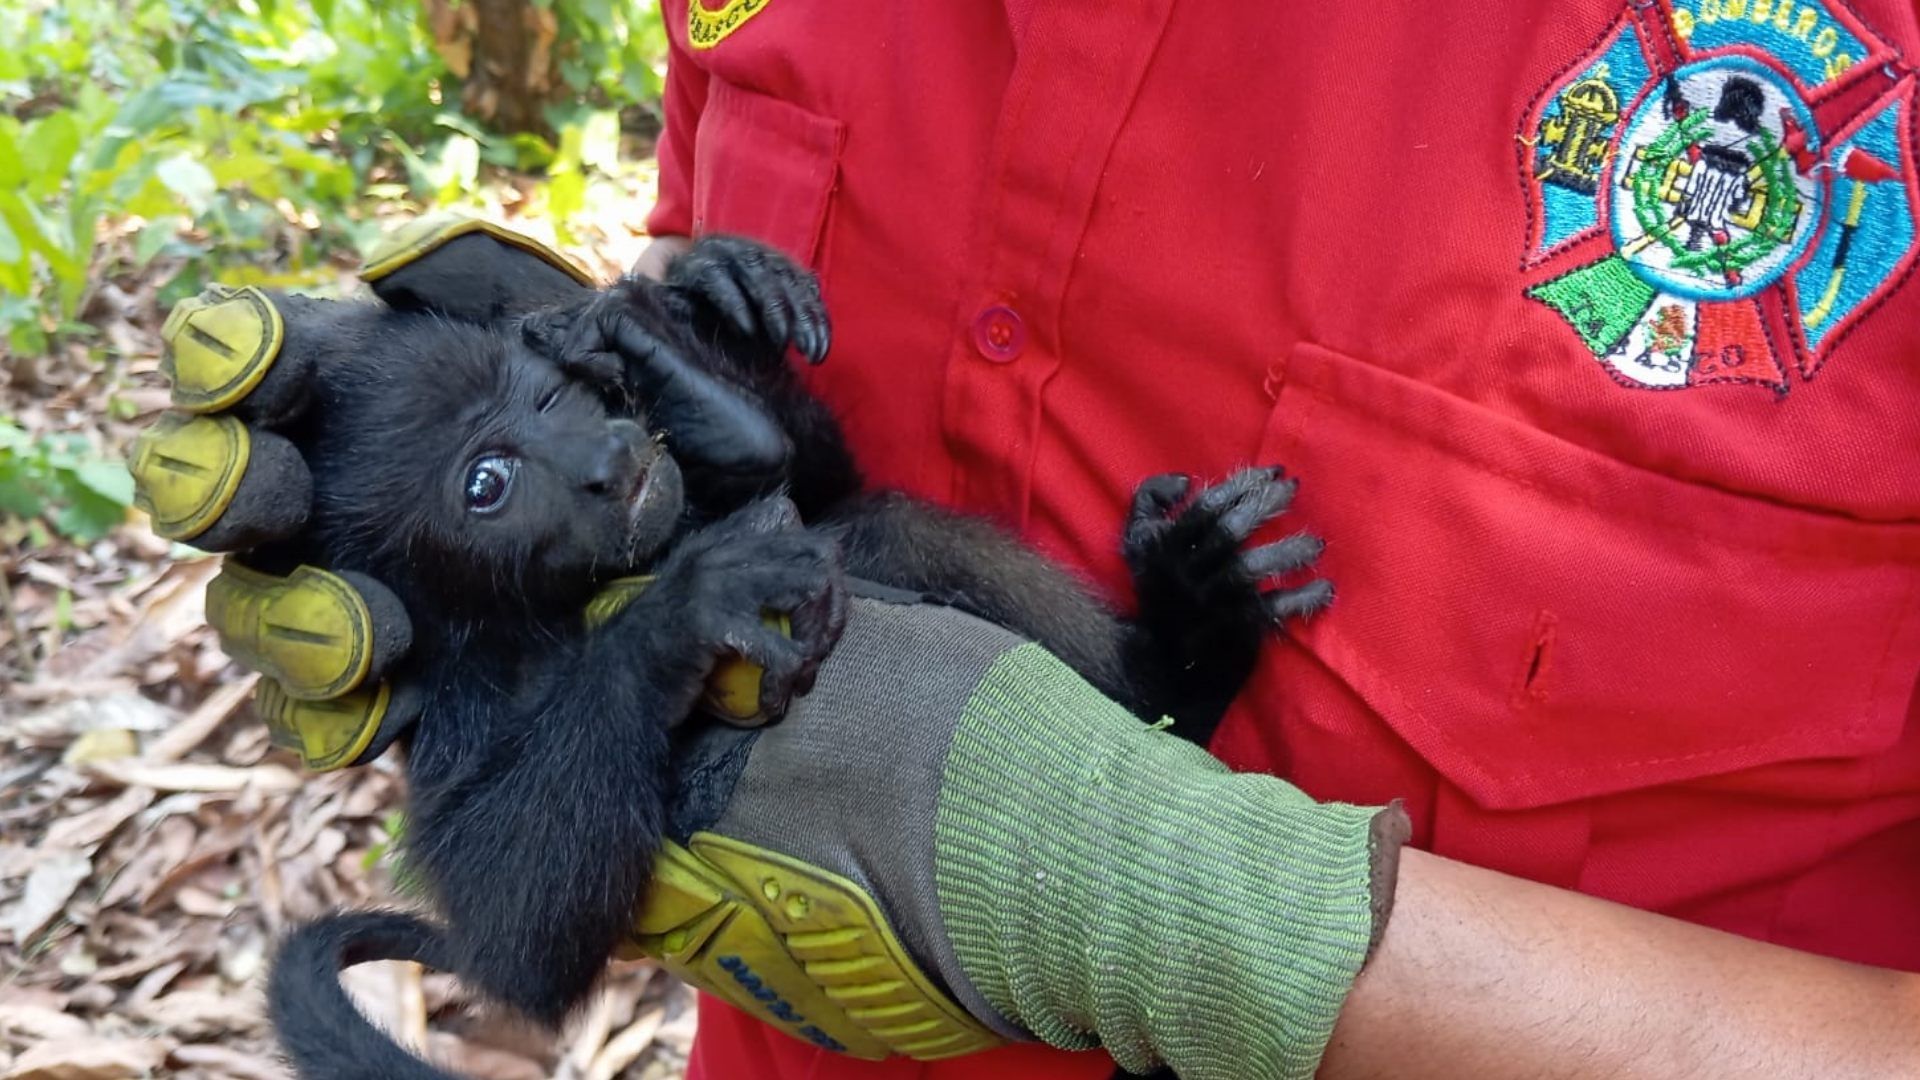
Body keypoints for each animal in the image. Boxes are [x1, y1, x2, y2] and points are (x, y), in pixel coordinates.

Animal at [256, 236, 1330, 1080]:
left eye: (553, 397)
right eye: (488, 482)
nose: (606, 461)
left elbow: (823, 486)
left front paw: (692, 313)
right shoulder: (467, 697)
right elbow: (519, 939)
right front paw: (683, 610)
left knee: (884, 527)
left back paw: (1186, 638)